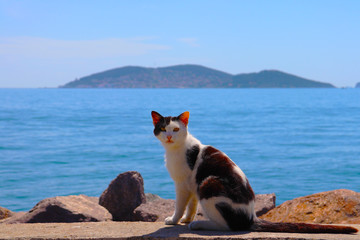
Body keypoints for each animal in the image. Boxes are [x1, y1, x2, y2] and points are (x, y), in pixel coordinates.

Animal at [151, 111, 358, 234]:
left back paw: (201, 225)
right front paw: (186, 219)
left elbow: (180, 205)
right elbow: (191, 206)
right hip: (202, 184)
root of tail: (251, 217)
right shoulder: (191, 184)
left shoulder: (182, 183)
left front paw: (174, 220)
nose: (169, 136)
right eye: (162, 128)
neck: (176, 149)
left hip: (208, 184)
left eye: (176, 129)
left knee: (228, 226)